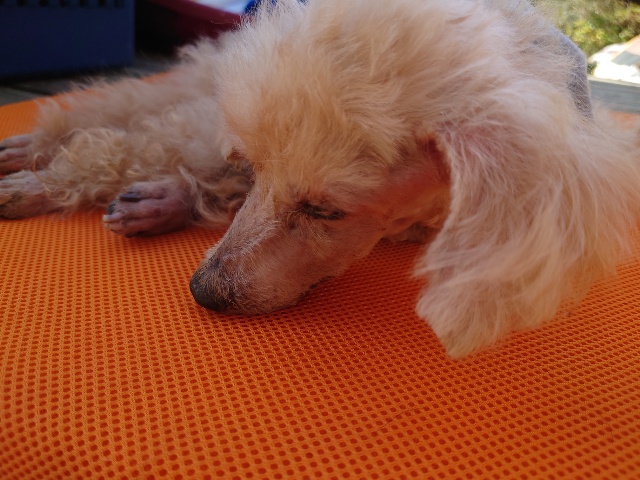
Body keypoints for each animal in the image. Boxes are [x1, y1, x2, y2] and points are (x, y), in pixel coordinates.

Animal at [1, 0, 639, 357]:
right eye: (255, 167)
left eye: (327, 211)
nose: (204, 292)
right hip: (195, 106)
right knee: (116, 125)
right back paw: (36, 164)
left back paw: (156, 200)